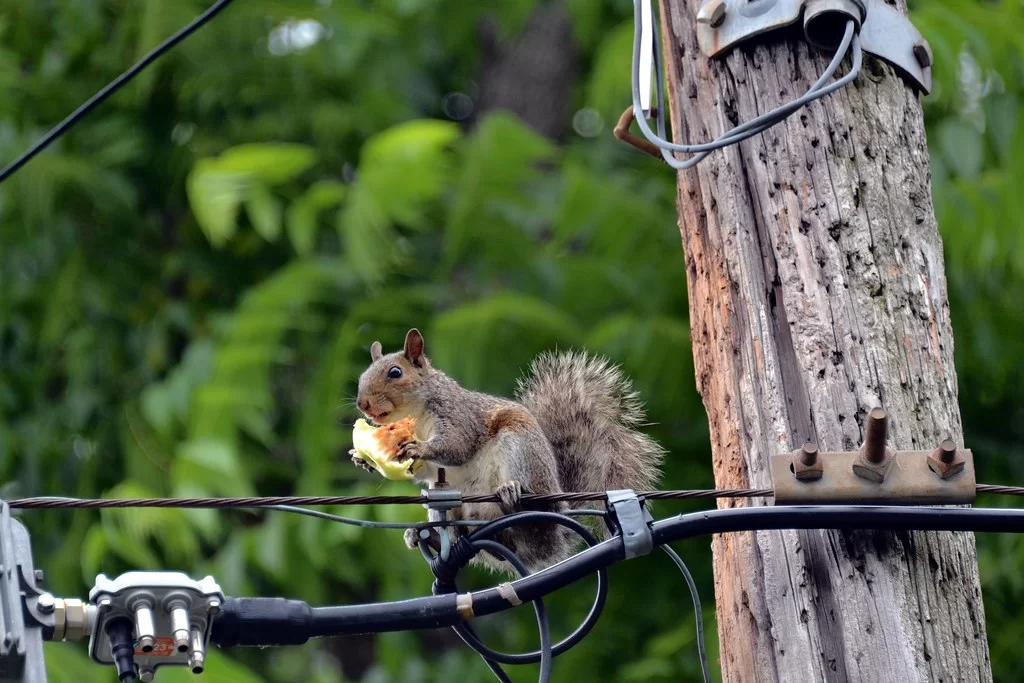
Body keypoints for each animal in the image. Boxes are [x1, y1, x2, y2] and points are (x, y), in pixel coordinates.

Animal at [352, 327, 663, 573]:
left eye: (395, 373)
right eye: (362, 375)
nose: (362, 404)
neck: (415, 414)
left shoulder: (458, 414)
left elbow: (458, 445)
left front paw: (417, 447)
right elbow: (426, 471)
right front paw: (363, 459)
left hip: (521, 448)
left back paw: (512, 495)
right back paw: (427, 537)